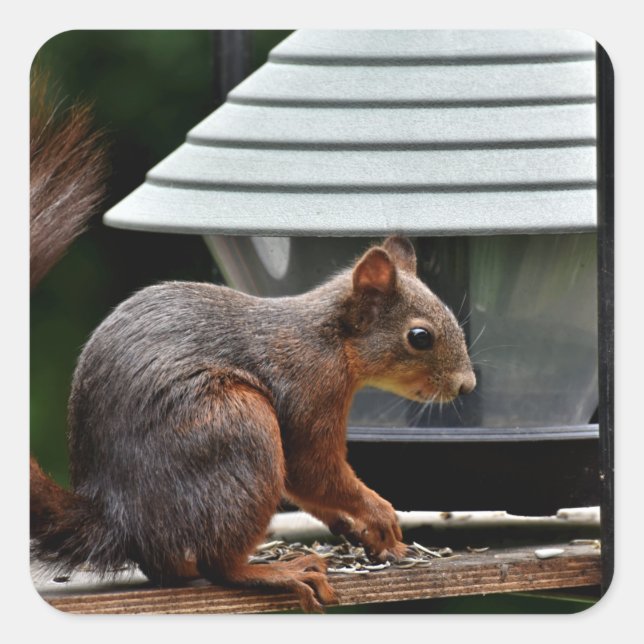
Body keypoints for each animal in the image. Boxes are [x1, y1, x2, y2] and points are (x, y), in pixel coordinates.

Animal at [30, 82, 476, 615]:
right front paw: (379, 514)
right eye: (420, 336)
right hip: (239, 429)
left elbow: (308, 489)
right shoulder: (307, 391)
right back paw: (277, 571)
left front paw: (357, 529)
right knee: (219, 565)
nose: (467, 385)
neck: (331, 341)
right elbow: (312, 470)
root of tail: (124, 521)